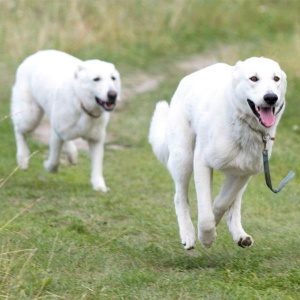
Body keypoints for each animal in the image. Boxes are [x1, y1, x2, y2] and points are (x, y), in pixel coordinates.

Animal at [10, 50, 120, 192]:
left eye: (113, 78)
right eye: (96, 79)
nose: (113, 95)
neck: (81, 104)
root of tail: (36, 54)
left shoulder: (96, 139)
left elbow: (97, 165)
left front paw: (100, 187)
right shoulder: (56, 135)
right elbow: (54, 160)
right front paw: (48, 166)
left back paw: (72, 154)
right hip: (30, 117)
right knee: (18, 130)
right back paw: (23, 159)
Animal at [149, 57, 288, 250]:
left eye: (276, 79)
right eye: (253, 78)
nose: (271, 98)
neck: (241, 124)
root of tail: (190, 77)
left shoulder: (244, 173)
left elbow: (222, 202)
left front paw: (212, 225)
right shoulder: (201, 163)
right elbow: (206, 214)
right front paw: (206, 236)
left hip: (238, 176)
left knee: (233, 204)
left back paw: (239, 235)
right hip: (183, 158)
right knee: (179, 197)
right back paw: (188, 234)